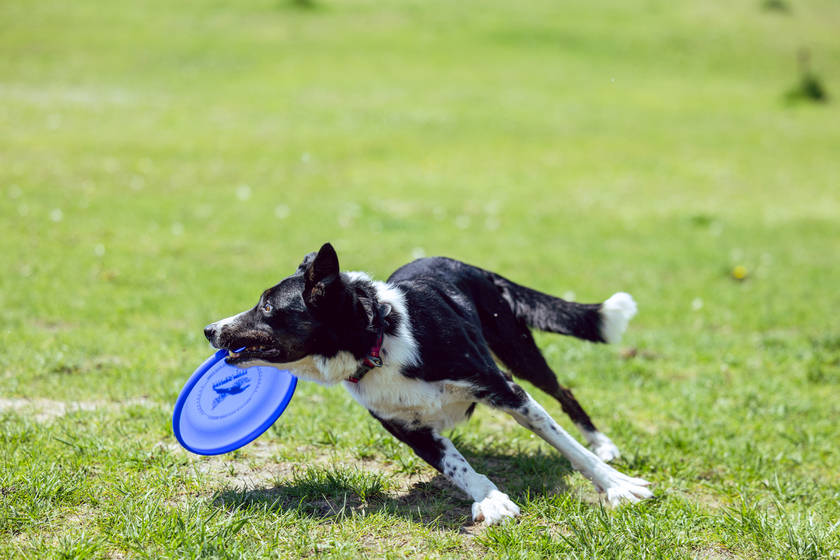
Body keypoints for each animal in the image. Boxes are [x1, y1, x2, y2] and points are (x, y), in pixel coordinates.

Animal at [203, 243, 648, 524]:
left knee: (563, 393)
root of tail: (473, 267)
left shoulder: (504, 389)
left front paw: (617, 486)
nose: (209, 329)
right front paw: (491, 499)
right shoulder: (408, 429)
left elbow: (567, 445)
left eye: (266, 306)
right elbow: (457, 466)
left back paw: (602, 443)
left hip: (518, 351)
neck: (380, 339)